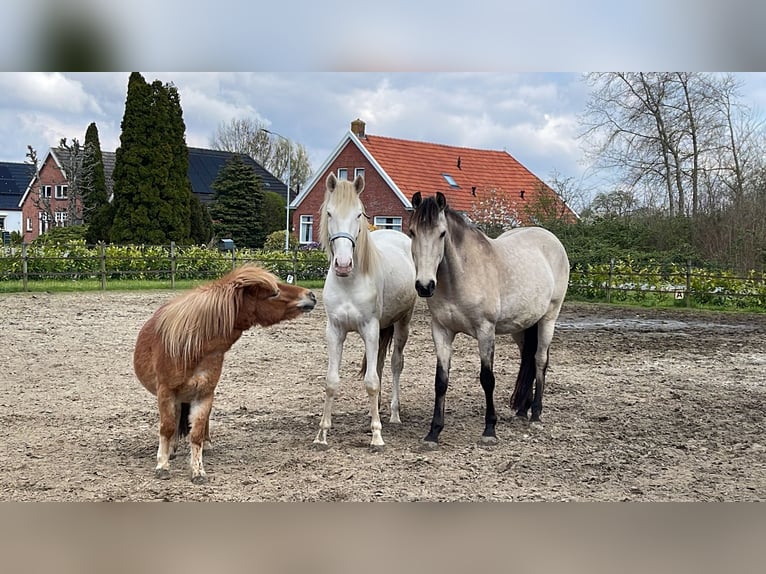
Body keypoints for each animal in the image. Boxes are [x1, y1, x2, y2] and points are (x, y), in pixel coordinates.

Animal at [135, 268, 318, 484]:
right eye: (274, 293)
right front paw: (162, 466)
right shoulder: (166, 392)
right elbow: (167, 428)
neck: (191, 347)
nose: (311, 295)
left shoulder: (204, 394)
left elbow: (196, 433)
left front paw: (198, 471)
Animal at [314, 173, 420, 452]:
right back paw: (377, 411)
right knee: (380, 365)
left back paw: (393, 414)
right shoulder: (335, 331)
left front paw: (377, 436)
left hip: (401, 323)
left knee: (395, 364)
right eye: (329, 213)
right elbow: (331, 382)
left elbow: (371, 382)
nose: (342, 264)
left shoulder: (370, 329)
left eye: (358, 214)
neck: (349, 283)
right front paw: (322, 434)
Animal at [408, 194, 568, 450]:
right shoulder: (441, 331)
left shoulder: (485, 331)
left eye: (442, 233)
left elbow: (487, 379)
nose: (424, 286)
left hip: (548, 319)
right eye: (412, 232)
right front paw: (433, 433)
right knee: (528, 359)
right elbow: (441, 381)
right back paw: (521, 411)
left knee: (540, 360)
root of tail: (550, 239)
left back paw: (535, 415)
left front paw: (490, 430)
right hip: (522, 327)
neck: (462, 274)